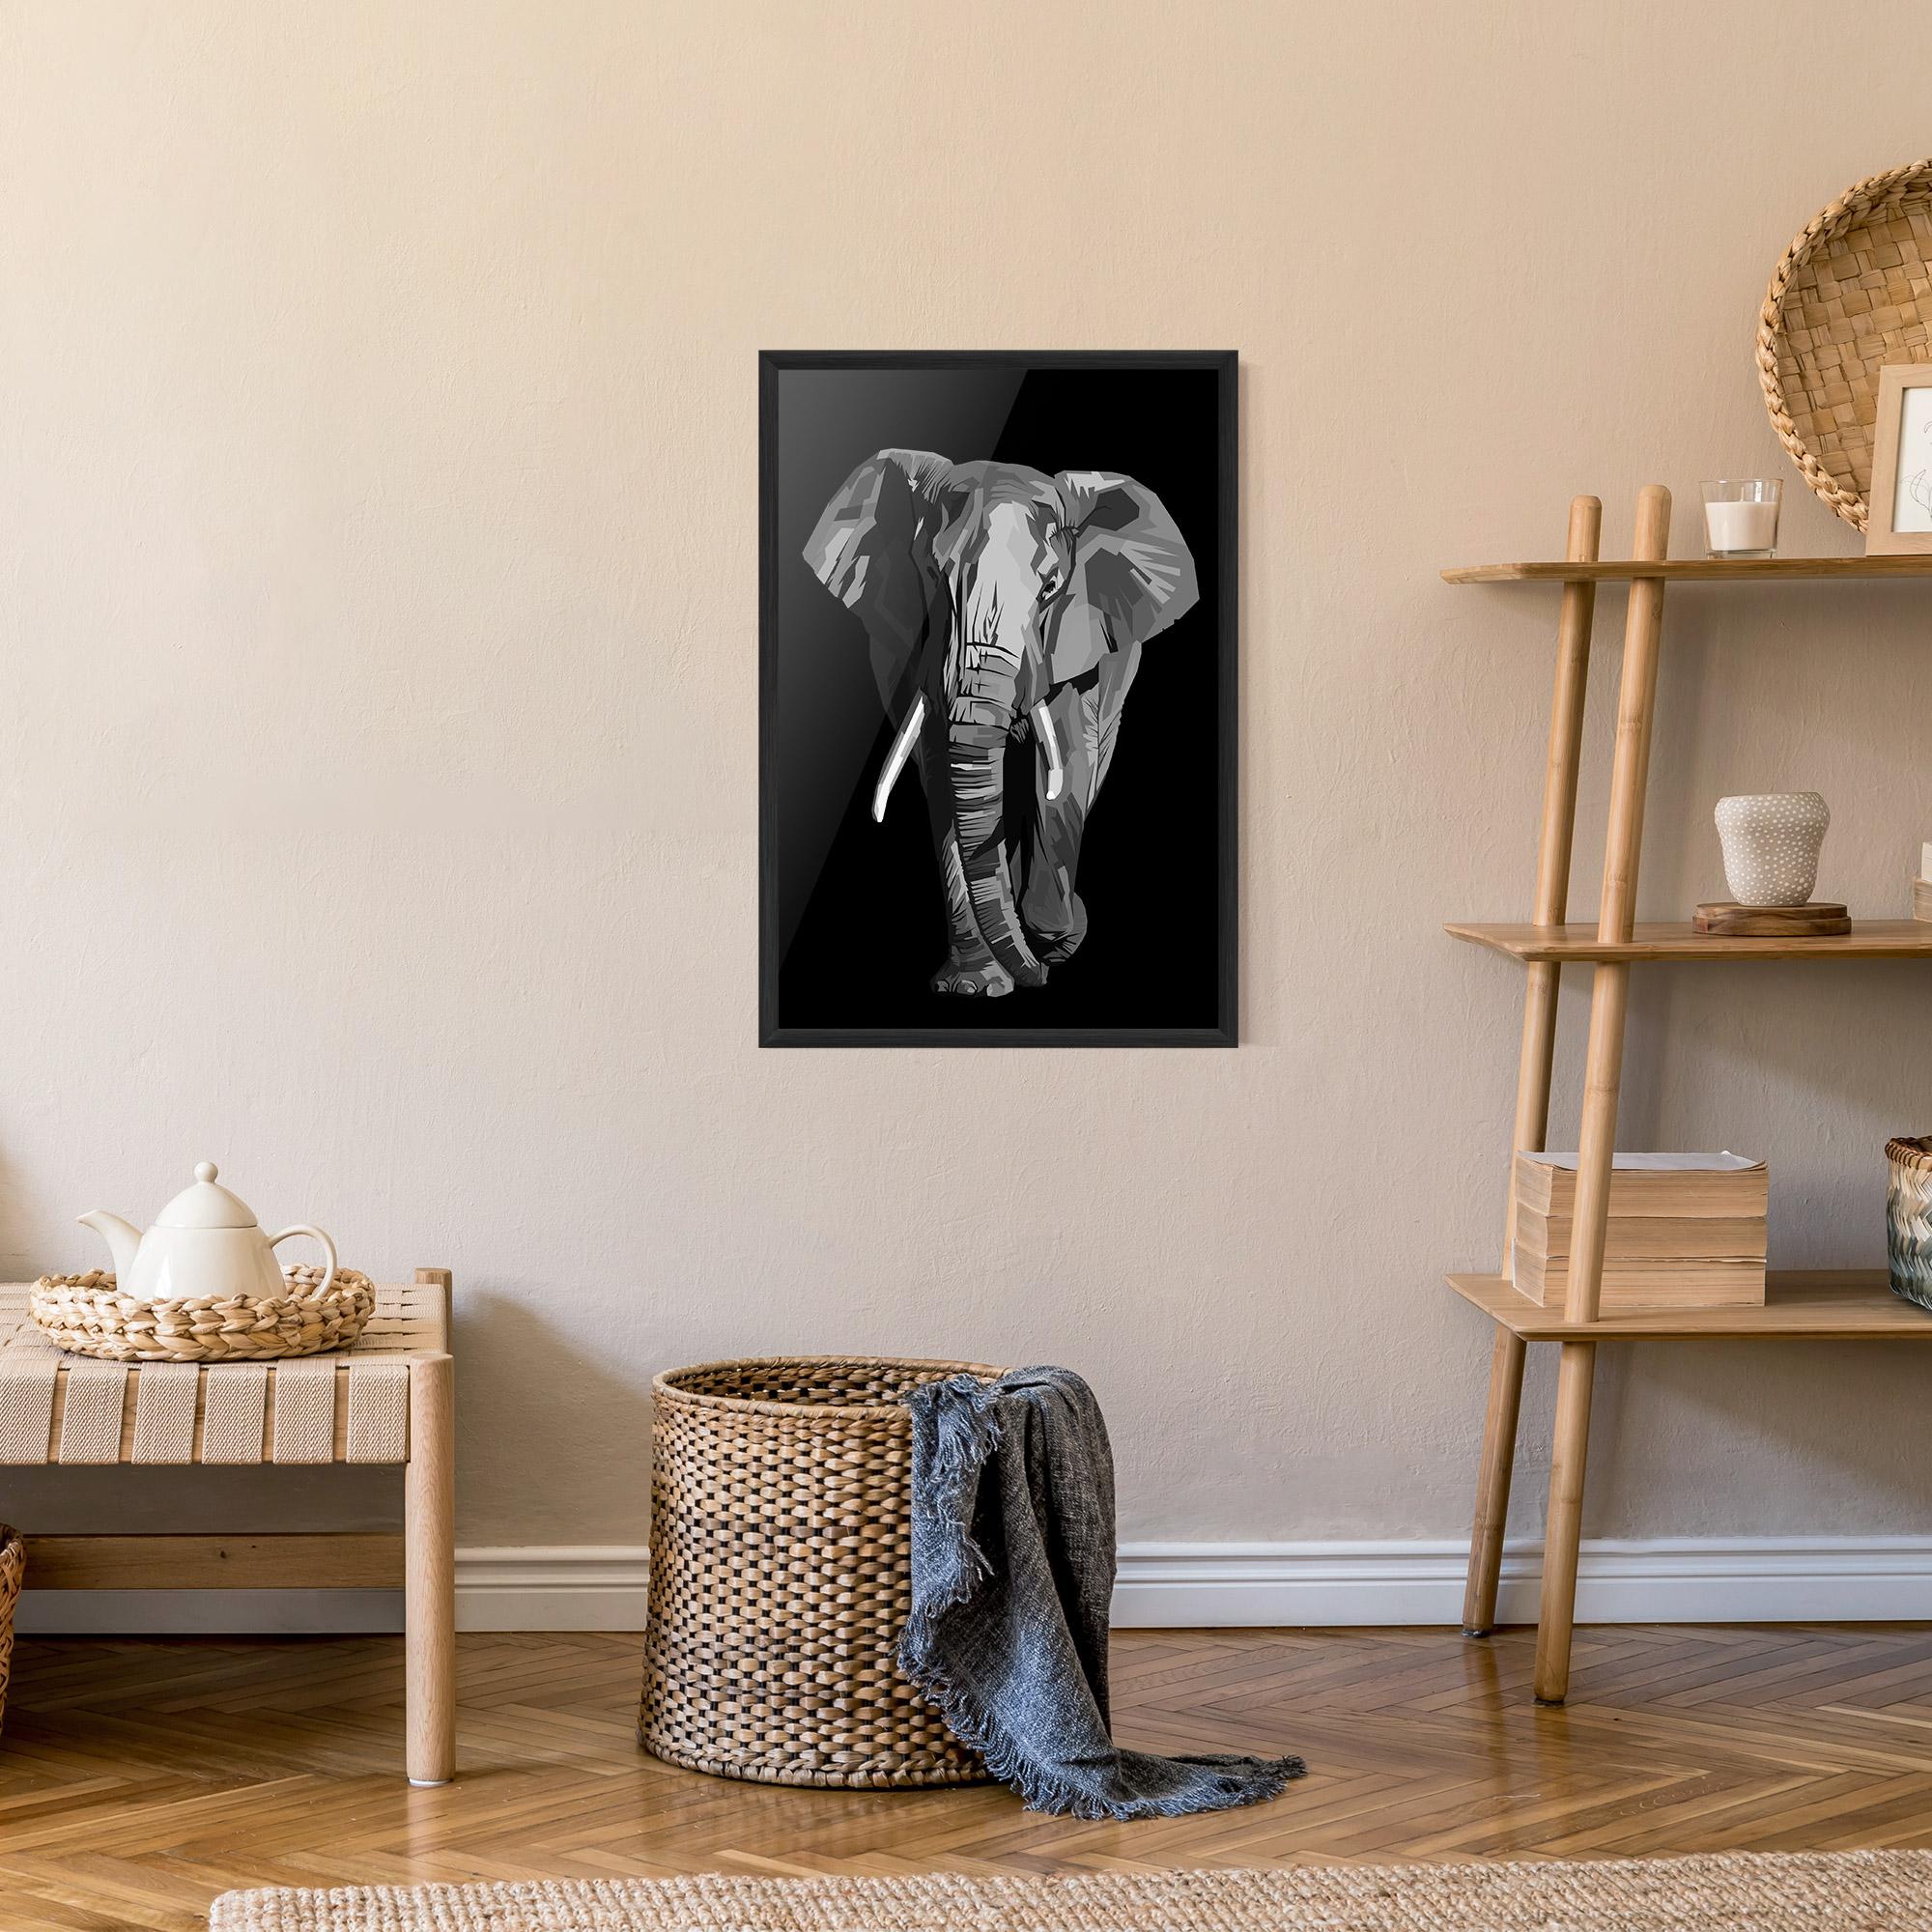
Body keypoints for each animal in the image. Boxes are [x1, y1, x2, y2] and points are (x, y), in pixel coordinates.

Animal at [802, 450, 1199, 997]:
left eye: (1052, 588)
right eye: (933, 573)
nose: (1044, 969)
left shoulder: (1075, 641)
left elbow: (1065, 765)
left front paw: (1051, 941)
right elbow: (941, 780)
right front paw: (974, 986)